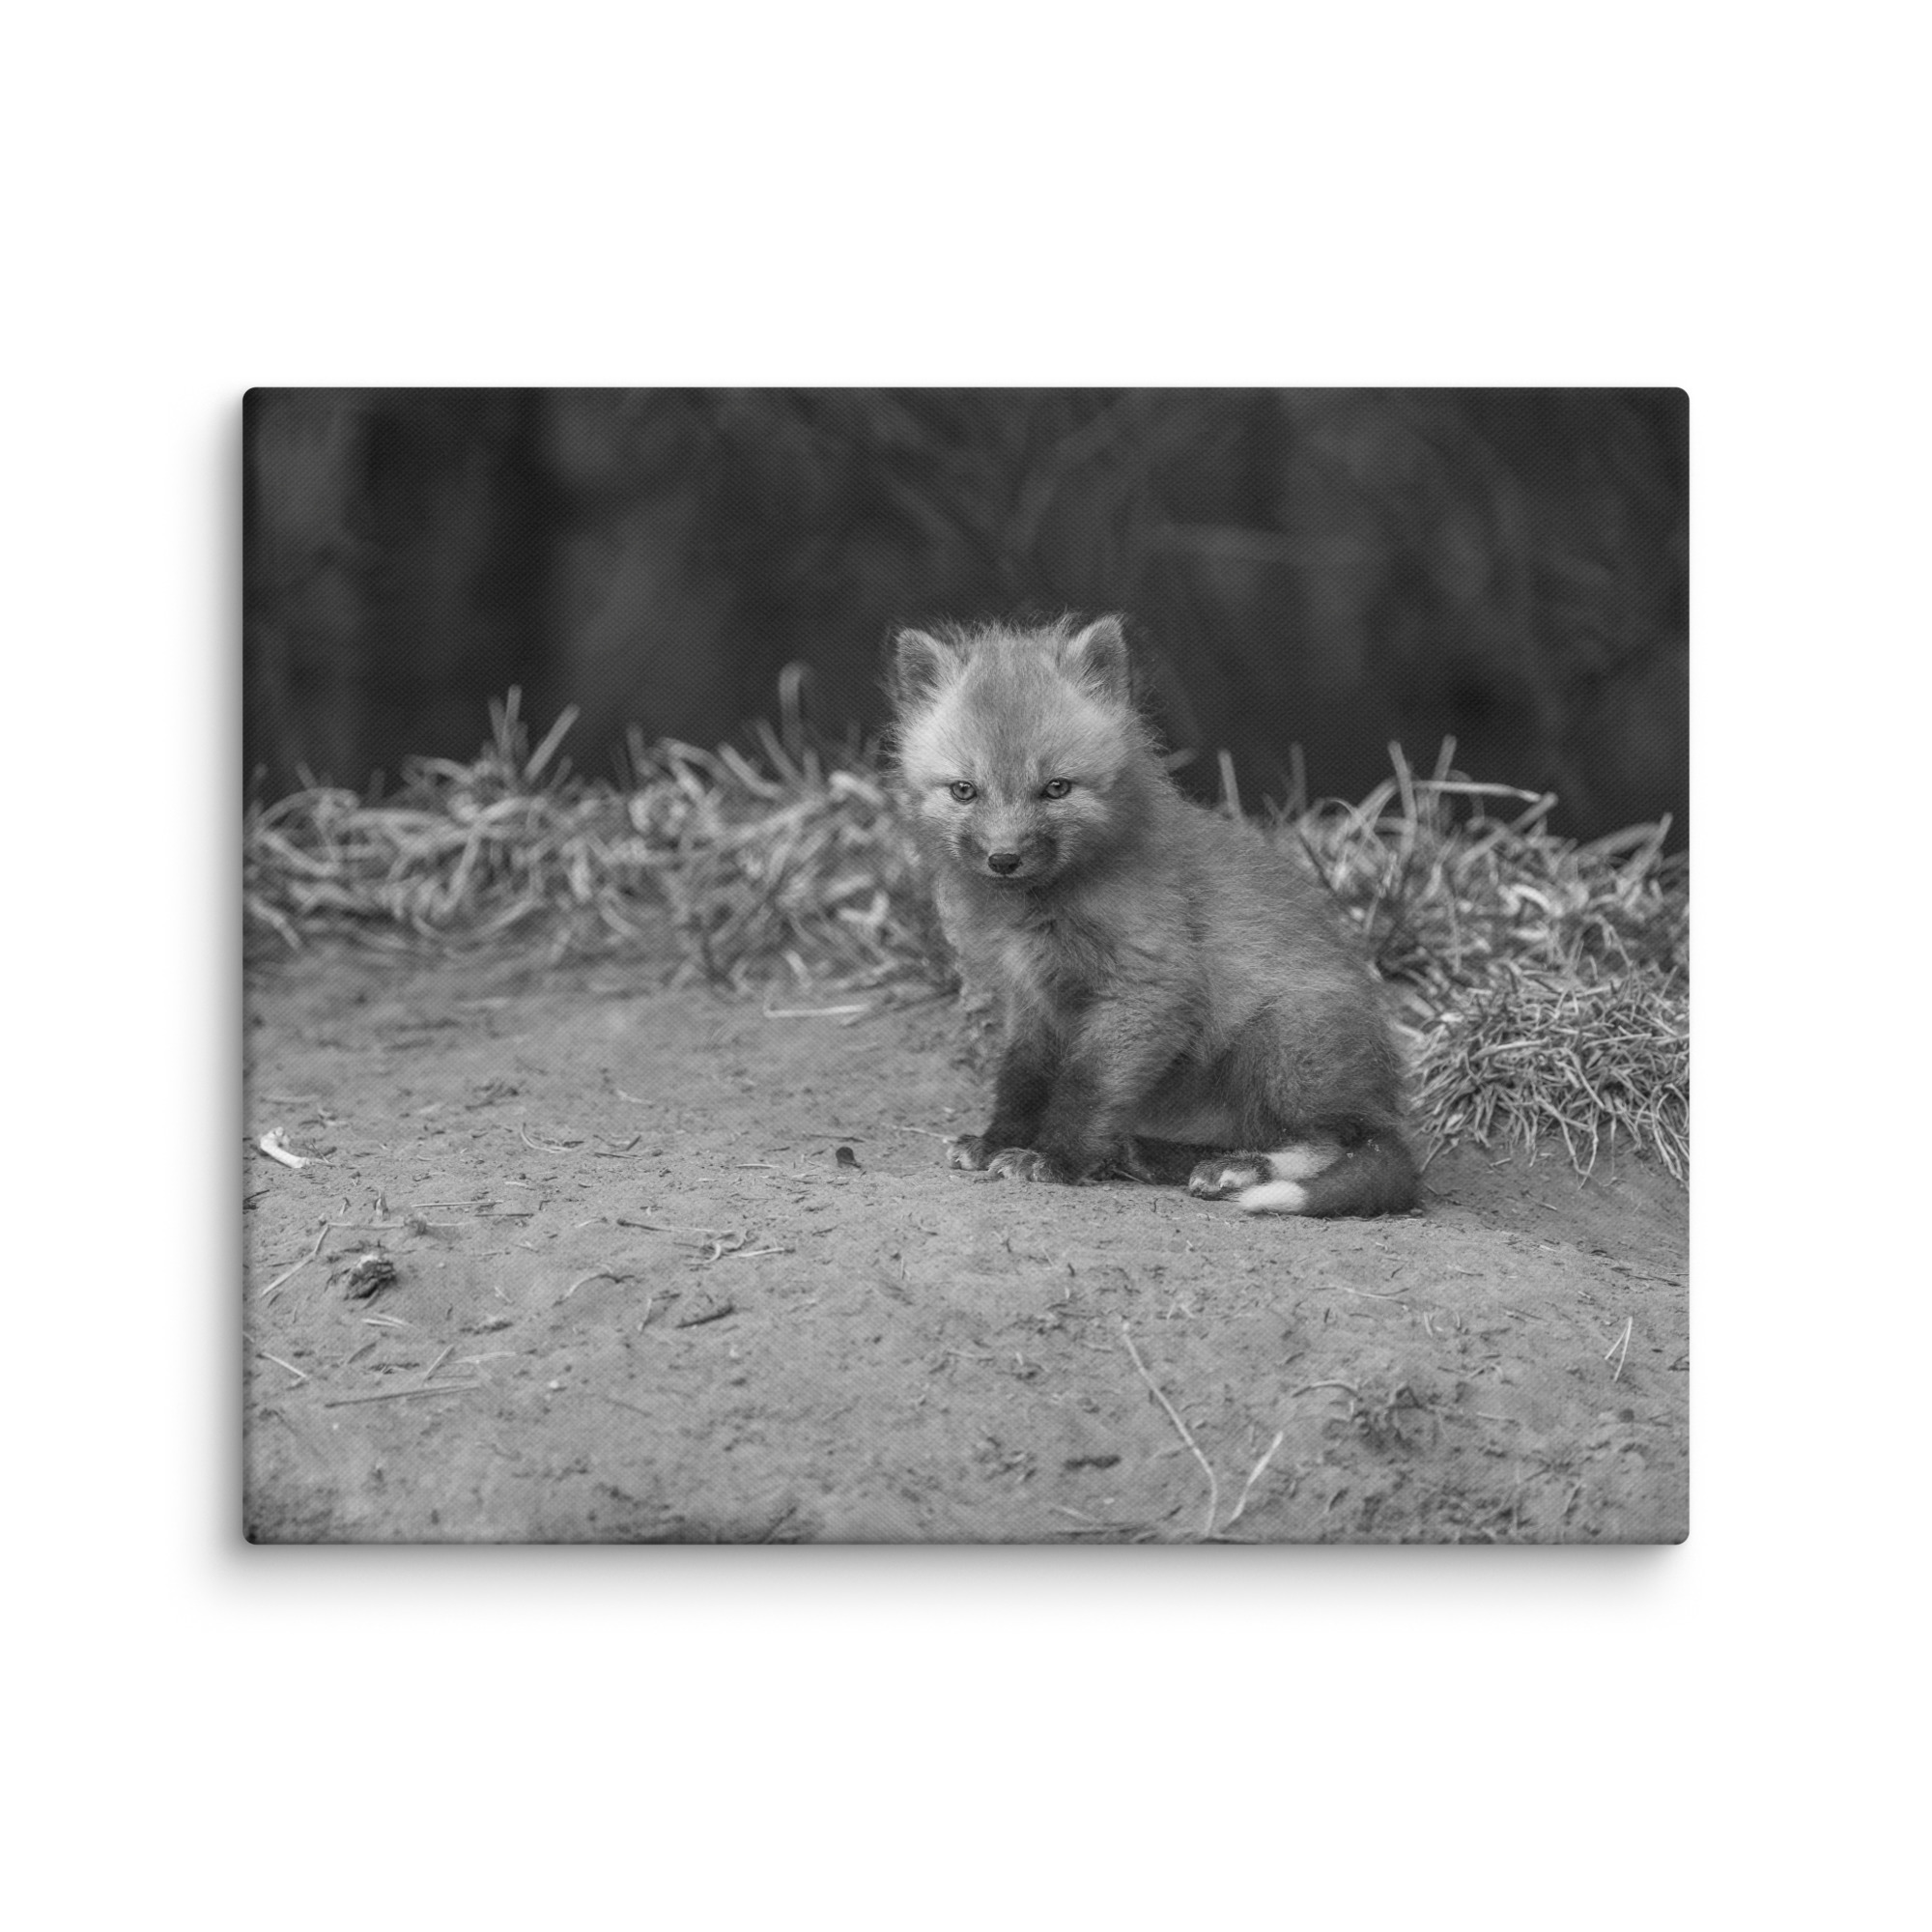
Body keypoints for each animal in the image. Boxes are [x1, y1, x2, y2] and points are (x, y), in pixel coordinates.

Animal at [889, 613, 1418, 1217]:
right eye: (964, 790)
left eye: (1056, 788)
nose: (1004, 859)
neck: (1040, 911)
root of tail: (1383, 1101)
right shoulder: (1032, 999)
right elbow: (1021, 1078)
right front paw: (998, 1140)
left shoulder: (1147, 987)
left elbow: (1087, 1086)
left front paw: (1054, 1158)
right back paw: (1151, 1154)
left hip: (1283, 1041)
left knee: (1334, 1142)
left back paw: (1236, 1170)